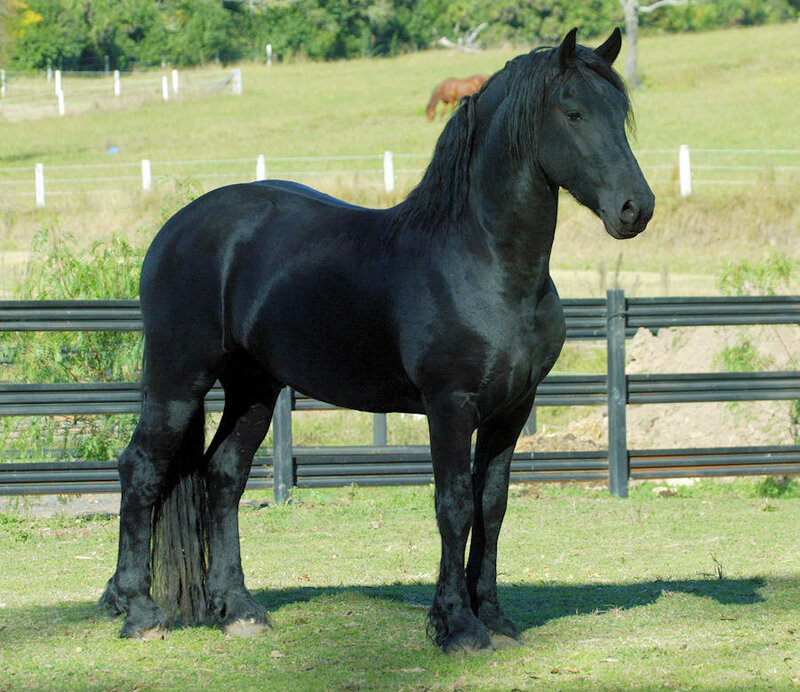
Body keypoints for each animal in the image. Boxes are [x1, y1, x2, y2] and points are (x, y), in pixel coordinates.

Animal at [100, 27, 654, 654]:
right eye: (573, 112)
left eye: (620, 113)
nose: (636, 208)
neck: (482, 261)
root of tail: (176, 227)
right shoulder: (450, 408)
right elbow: (454, 506)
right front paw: (458, 627)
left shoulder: (513, 410)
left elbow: (492, 506)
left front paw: (492, 617)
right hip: (178, 379)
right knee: (141, 468)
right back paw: (137, 609)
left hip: (255, 390)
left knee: (223, 477)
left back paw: (238, 608)